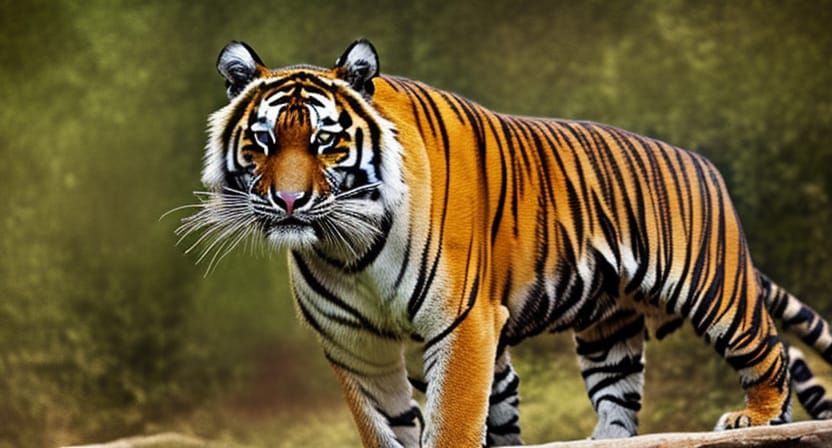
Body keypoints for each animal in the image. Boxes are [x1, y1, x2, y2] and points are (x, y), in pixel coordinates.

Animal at [180, 38, 832, 447]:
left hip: (711, 286)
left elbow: (451, 424)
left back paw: (754, 418)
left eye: (325, 142)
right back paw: (598, 441)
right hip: (607, 327)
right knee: (620, 398)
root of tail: (701, 162)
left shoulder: (464, 321)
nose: (288, 202)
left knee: (768, 351)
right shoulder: (353, 345)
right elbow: (384, 424)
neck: (346, 248)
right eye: (263, 141)